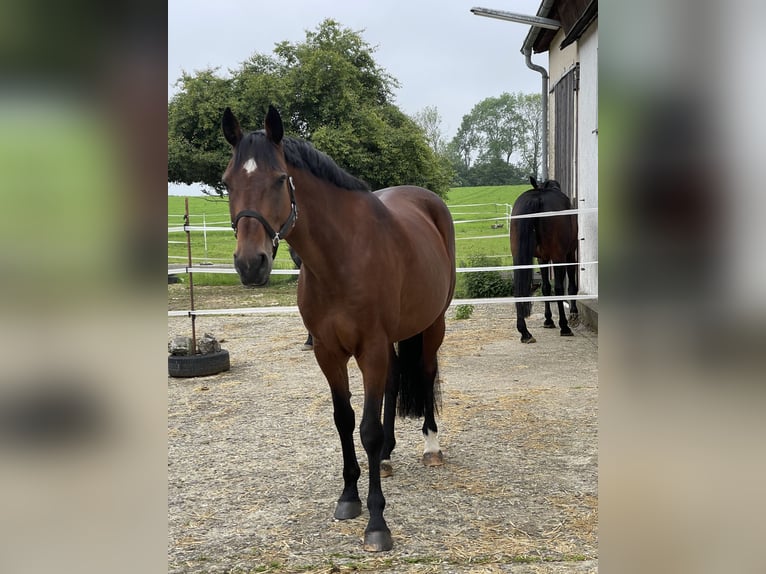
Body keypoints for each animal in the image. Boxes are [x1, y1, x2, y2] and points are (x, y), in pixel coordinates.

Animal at [222, 104, 456, 552]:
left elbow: (367, 430)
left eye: (279, 178)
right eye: (227, 182)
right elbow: (344, 420)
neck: (340, 257)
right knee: (395, 383)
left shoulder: (371, 349)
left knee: (426, 372)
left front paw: (377, 523)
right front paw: (349, 497)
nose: (249, 264)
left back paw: (431, 447)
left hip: (432, 325)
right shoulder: (328, 352)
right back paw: (388, 457)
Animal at [512, 178, 580, 344]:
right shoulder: (568, 255)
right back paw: (564, 327)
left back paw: (525, 332)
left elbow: (546, 287)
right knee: (559, 288)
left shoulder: (541, 258)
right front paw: (573, 315)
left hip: (518, 257)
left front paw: (548, 320)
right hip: (558, 256)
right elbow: (569, 286)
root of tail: (538, 197)